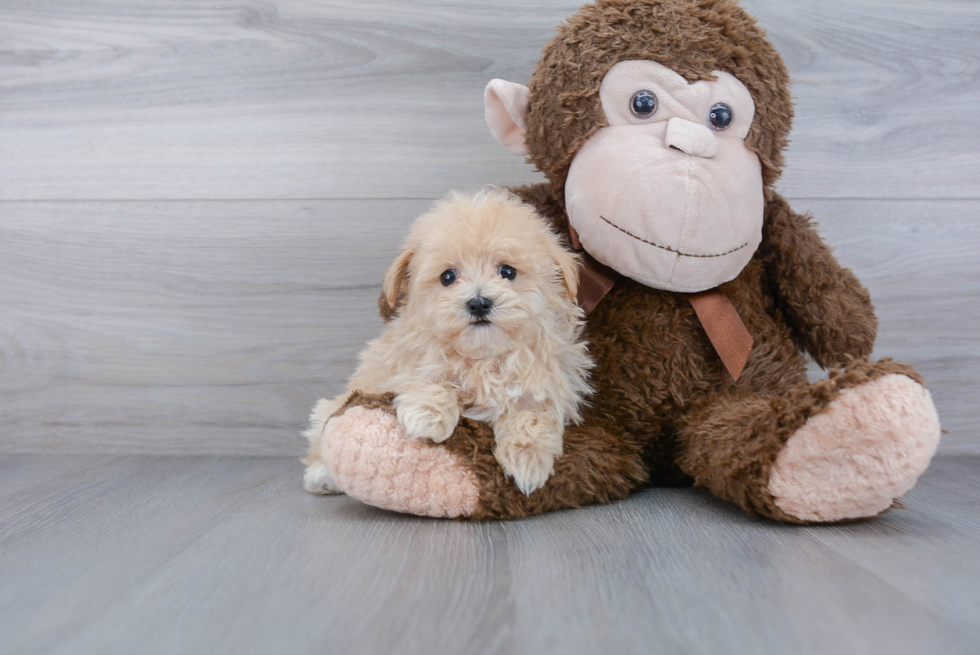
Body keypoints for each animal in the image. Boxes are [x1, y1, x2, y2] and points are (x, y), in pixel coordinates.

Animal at [302, 190, 592, 498]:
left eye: (507, 272)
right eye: (448, 277)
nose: (479, 303)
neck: (483, 357)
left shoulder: (543, 385)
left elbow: (531, 417)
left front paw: (528, 460)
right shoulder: (404, 361)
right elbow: (431, 378)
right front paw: (428, 416)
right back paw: (322, 476)